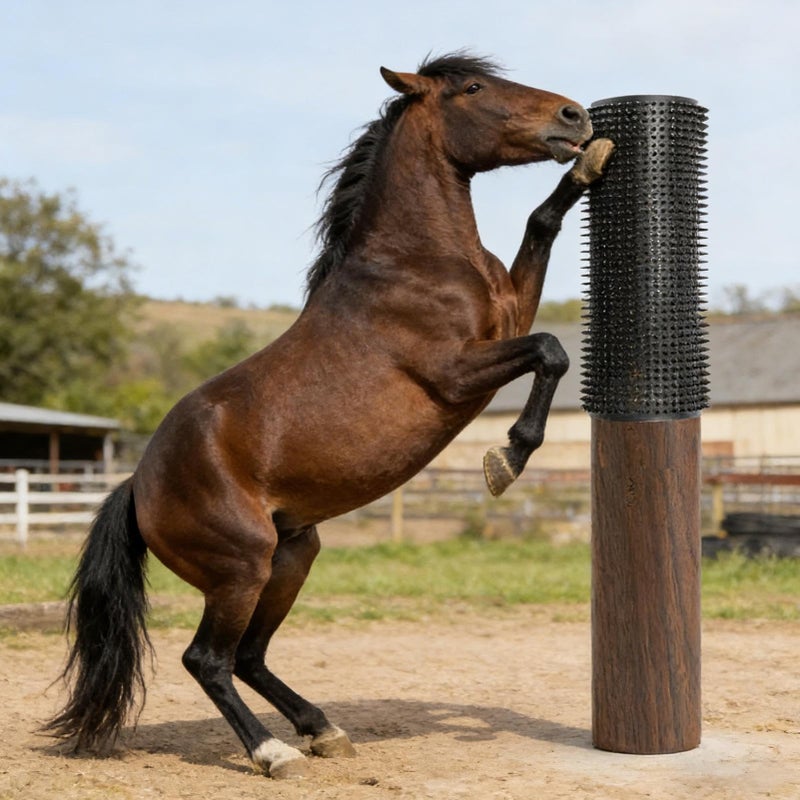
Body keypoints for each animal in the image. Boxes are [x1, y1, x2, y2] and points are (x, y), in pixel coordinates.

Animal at [44, 53, 613, 778]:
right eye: (473, 87)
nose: (573, 115)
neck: (412, 264)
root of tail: (137, 486)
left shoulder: (510, 310)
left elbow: (542, 227)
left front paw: (590, 163)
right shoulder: (457, 372)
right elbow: (550, 351)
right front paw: (505, 458)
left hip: (294, 554)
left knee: (250, 656)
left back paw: (324, 730)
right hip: (242, 566)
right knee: (208, 659)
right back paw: (274, 753)